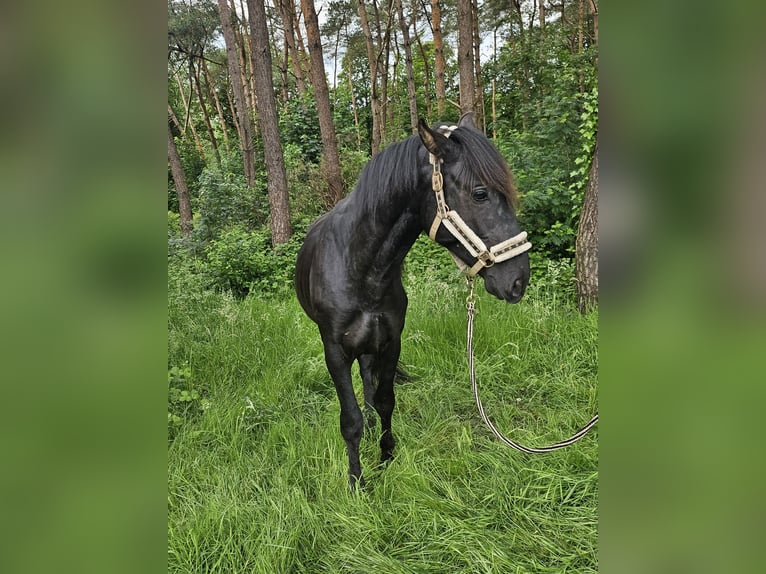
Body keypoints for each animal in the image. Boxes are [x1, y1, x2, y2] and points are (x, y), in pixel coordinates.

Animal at [296, 115, 532, 488]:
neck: (361, 268)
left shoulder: (391, 341)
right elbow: (349, 419)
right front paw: (356, 481)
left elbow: (385, 400)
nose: (519, 279)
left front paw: (385, 458)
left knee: (368, 381)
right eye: (480, 193)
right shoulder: (334, 351)